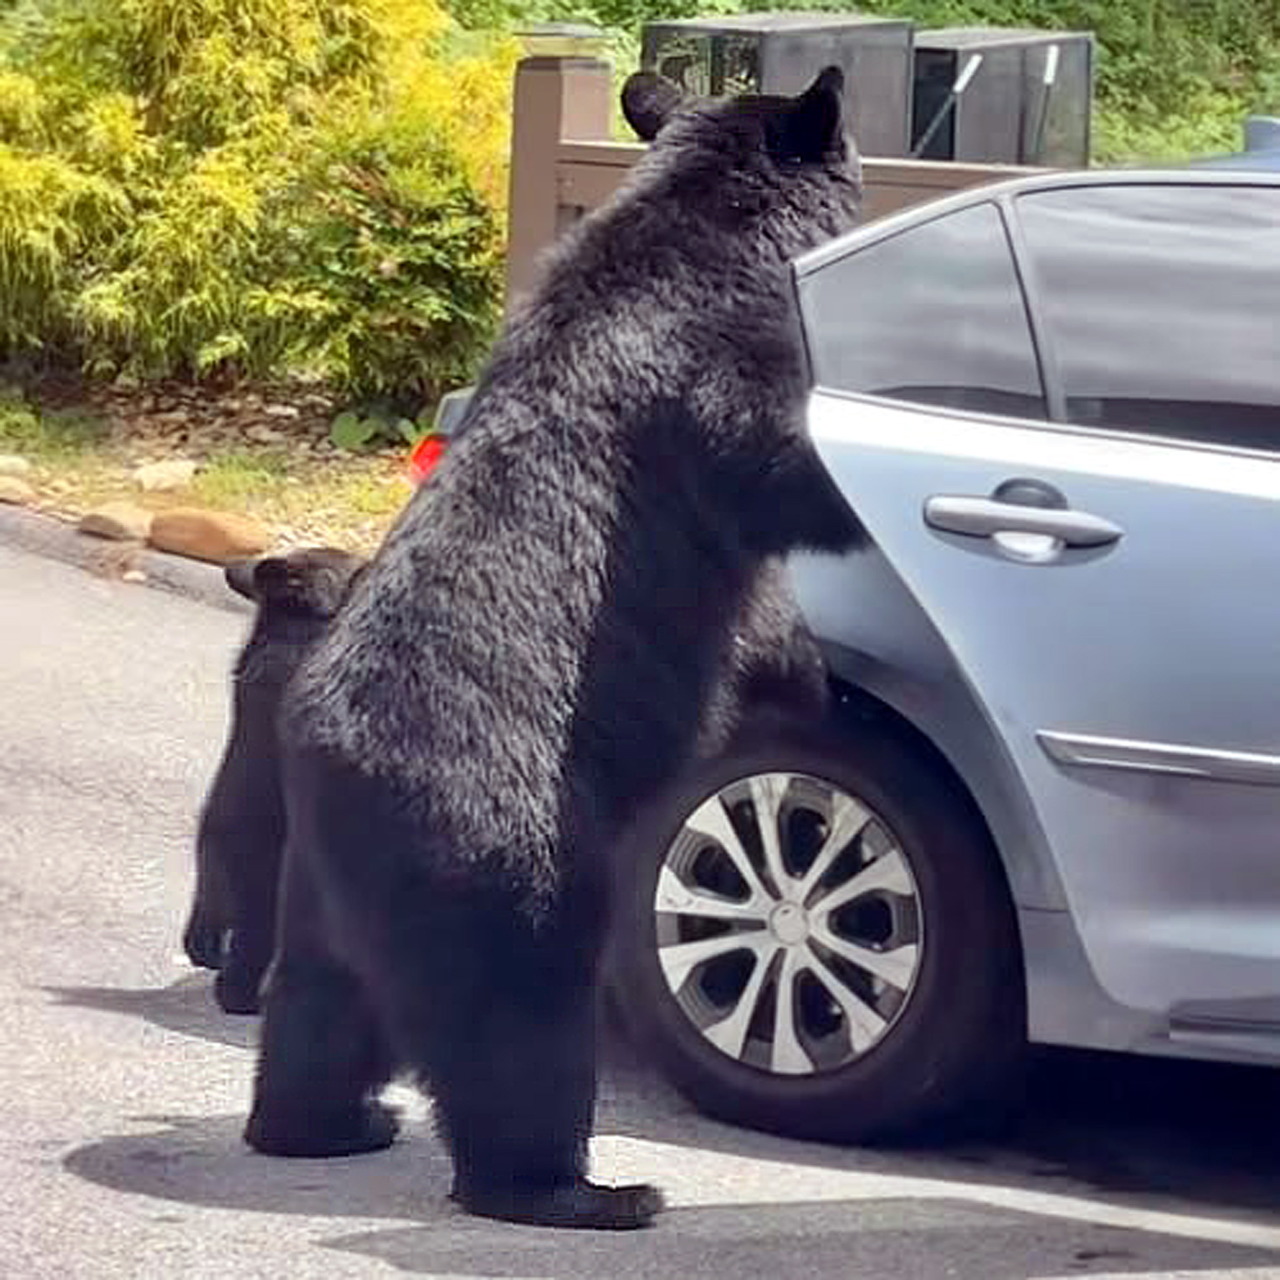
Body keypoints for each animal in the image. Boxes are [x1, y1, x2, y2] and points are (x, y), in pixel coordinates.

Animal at [242, 65, 865, 1231]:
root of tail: (338, 768)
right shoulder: (708, 379)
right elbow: (782, 472)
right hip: (515, 841)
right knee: (520, 1019)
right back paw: (580, 1187)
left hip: (316, 885)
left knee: (317, 1005)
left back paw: (328, 1123)